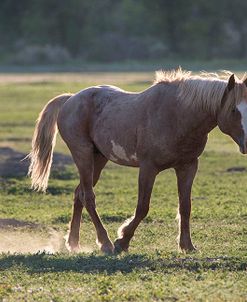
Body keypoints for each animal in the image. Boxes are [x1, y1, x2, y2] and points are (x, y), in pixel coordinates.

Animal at [28, 68, 247, 252]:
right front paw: (122, 241)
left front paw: (187, 245)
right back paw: (105, 243)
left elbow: (185, 206)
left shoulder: (188, 166)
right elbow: (143, 207)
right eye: (234, 110)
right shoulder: (148, 168)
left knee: (79, 193)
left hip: (98, 159)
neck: (178, 115)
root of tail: (70, 99)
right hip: (83, 155)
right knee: (88, 196)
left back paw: (73, 242)